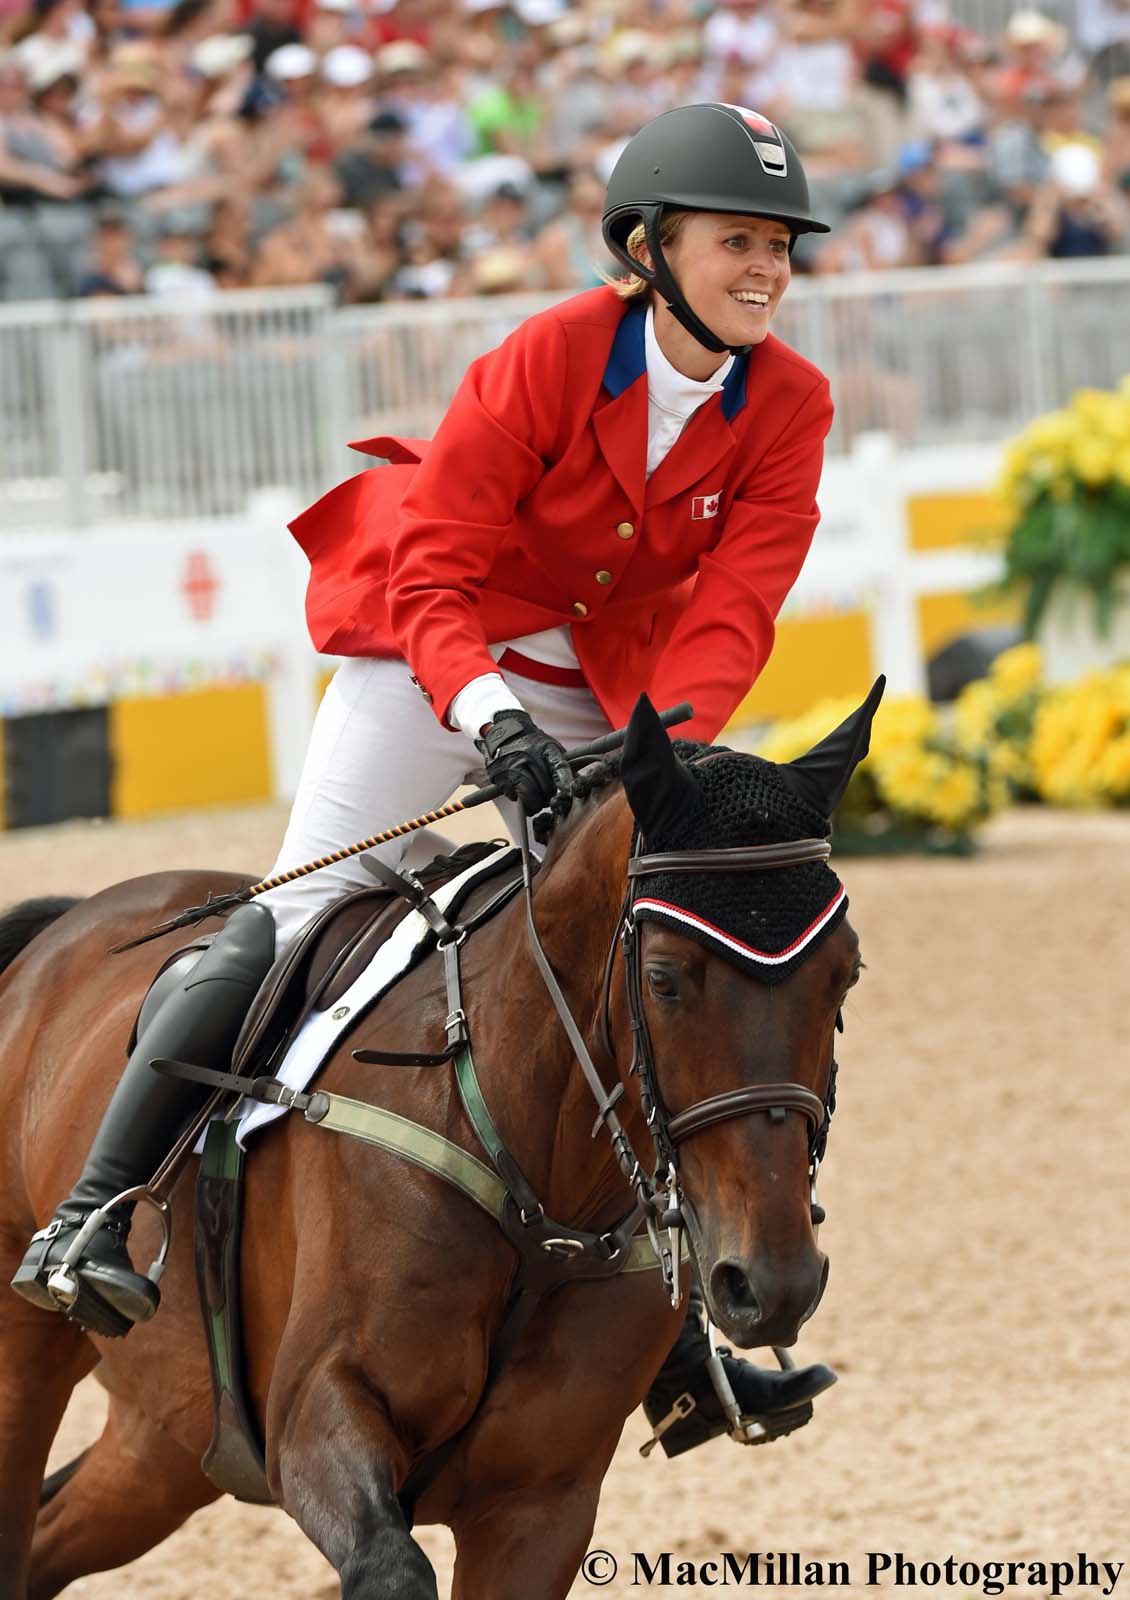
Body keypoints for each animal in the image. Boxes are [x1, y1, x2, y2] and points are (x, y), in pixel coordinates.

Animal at [0, 691, 870, 1600]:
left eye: (844, 976)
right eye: (665, 979)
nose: (772, 1284)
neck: (536, 1187)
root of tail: (63, 928)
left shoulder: (538, 1509)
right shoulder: (315, 1421)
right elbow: (391, 1566)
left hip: (169, 1440)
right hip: (29, 1359)